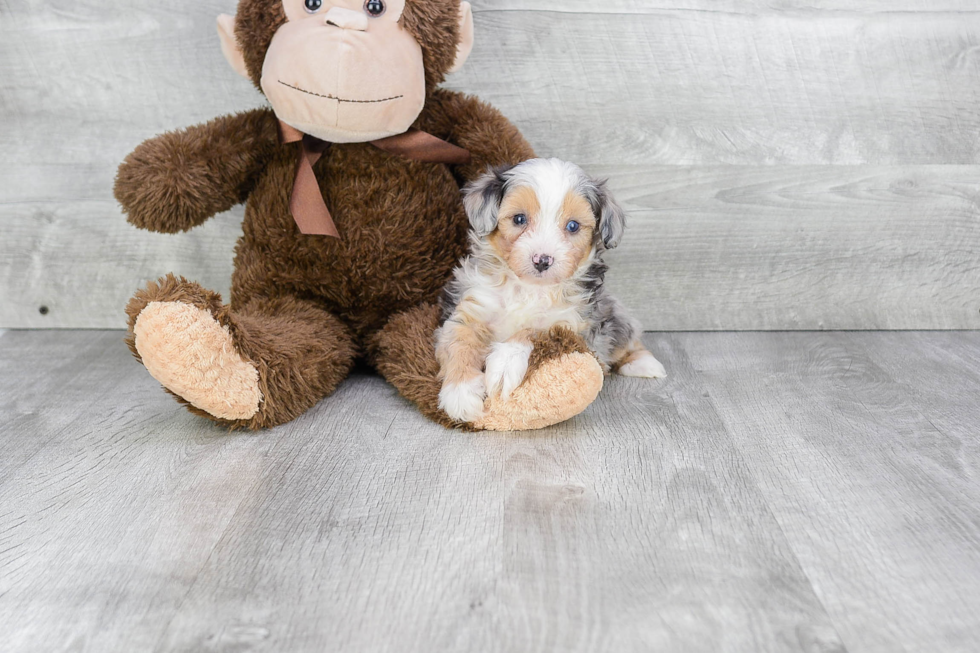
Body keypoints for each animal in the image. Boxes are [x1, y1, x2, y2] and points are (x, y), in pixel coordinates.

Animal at [436, 159, 668, 422]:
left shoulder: (571, 324)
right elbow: (459, 343)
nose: (542, 260)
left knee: (629, 337)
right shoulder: (472, 310)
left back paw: (643, 363)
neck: (528, 289)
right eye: (519, 219)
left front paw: (505, 362)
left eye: (573, 226)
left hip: (613, 314)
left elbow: (534, 329)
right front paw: (460, 393)